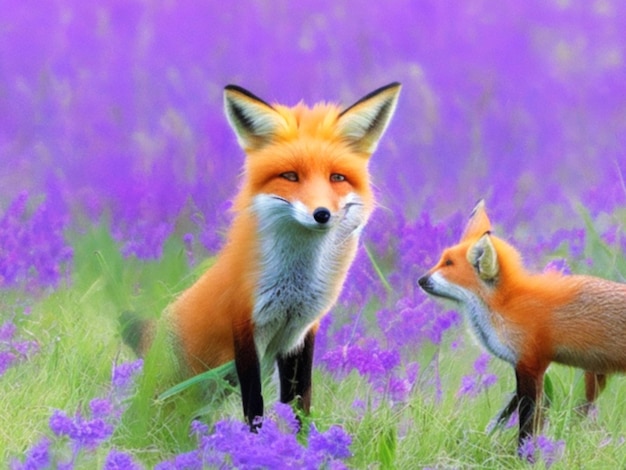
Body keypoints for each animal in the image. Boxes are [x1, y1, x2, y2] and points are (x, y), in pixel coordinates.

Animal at [122, 81, 400, 430]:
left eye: (336, 177)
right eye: (290, 176)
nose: (322, 214)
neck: (295, 287)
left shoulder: (301, 332)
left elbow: (300, 401)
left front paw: (301, 441)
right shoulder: (245, 326)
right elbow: (255, 404)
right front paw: (255, 440)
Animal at [416, 201, 624, 452]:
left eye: (449, 264)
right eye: (442, 260)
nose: (420, 279)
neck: (505, 306)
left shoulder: (531, 364)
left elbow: (527, 423)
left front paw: (524, 454)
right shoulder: (522, 367)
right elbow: (503, 416)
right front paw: (484, 439)